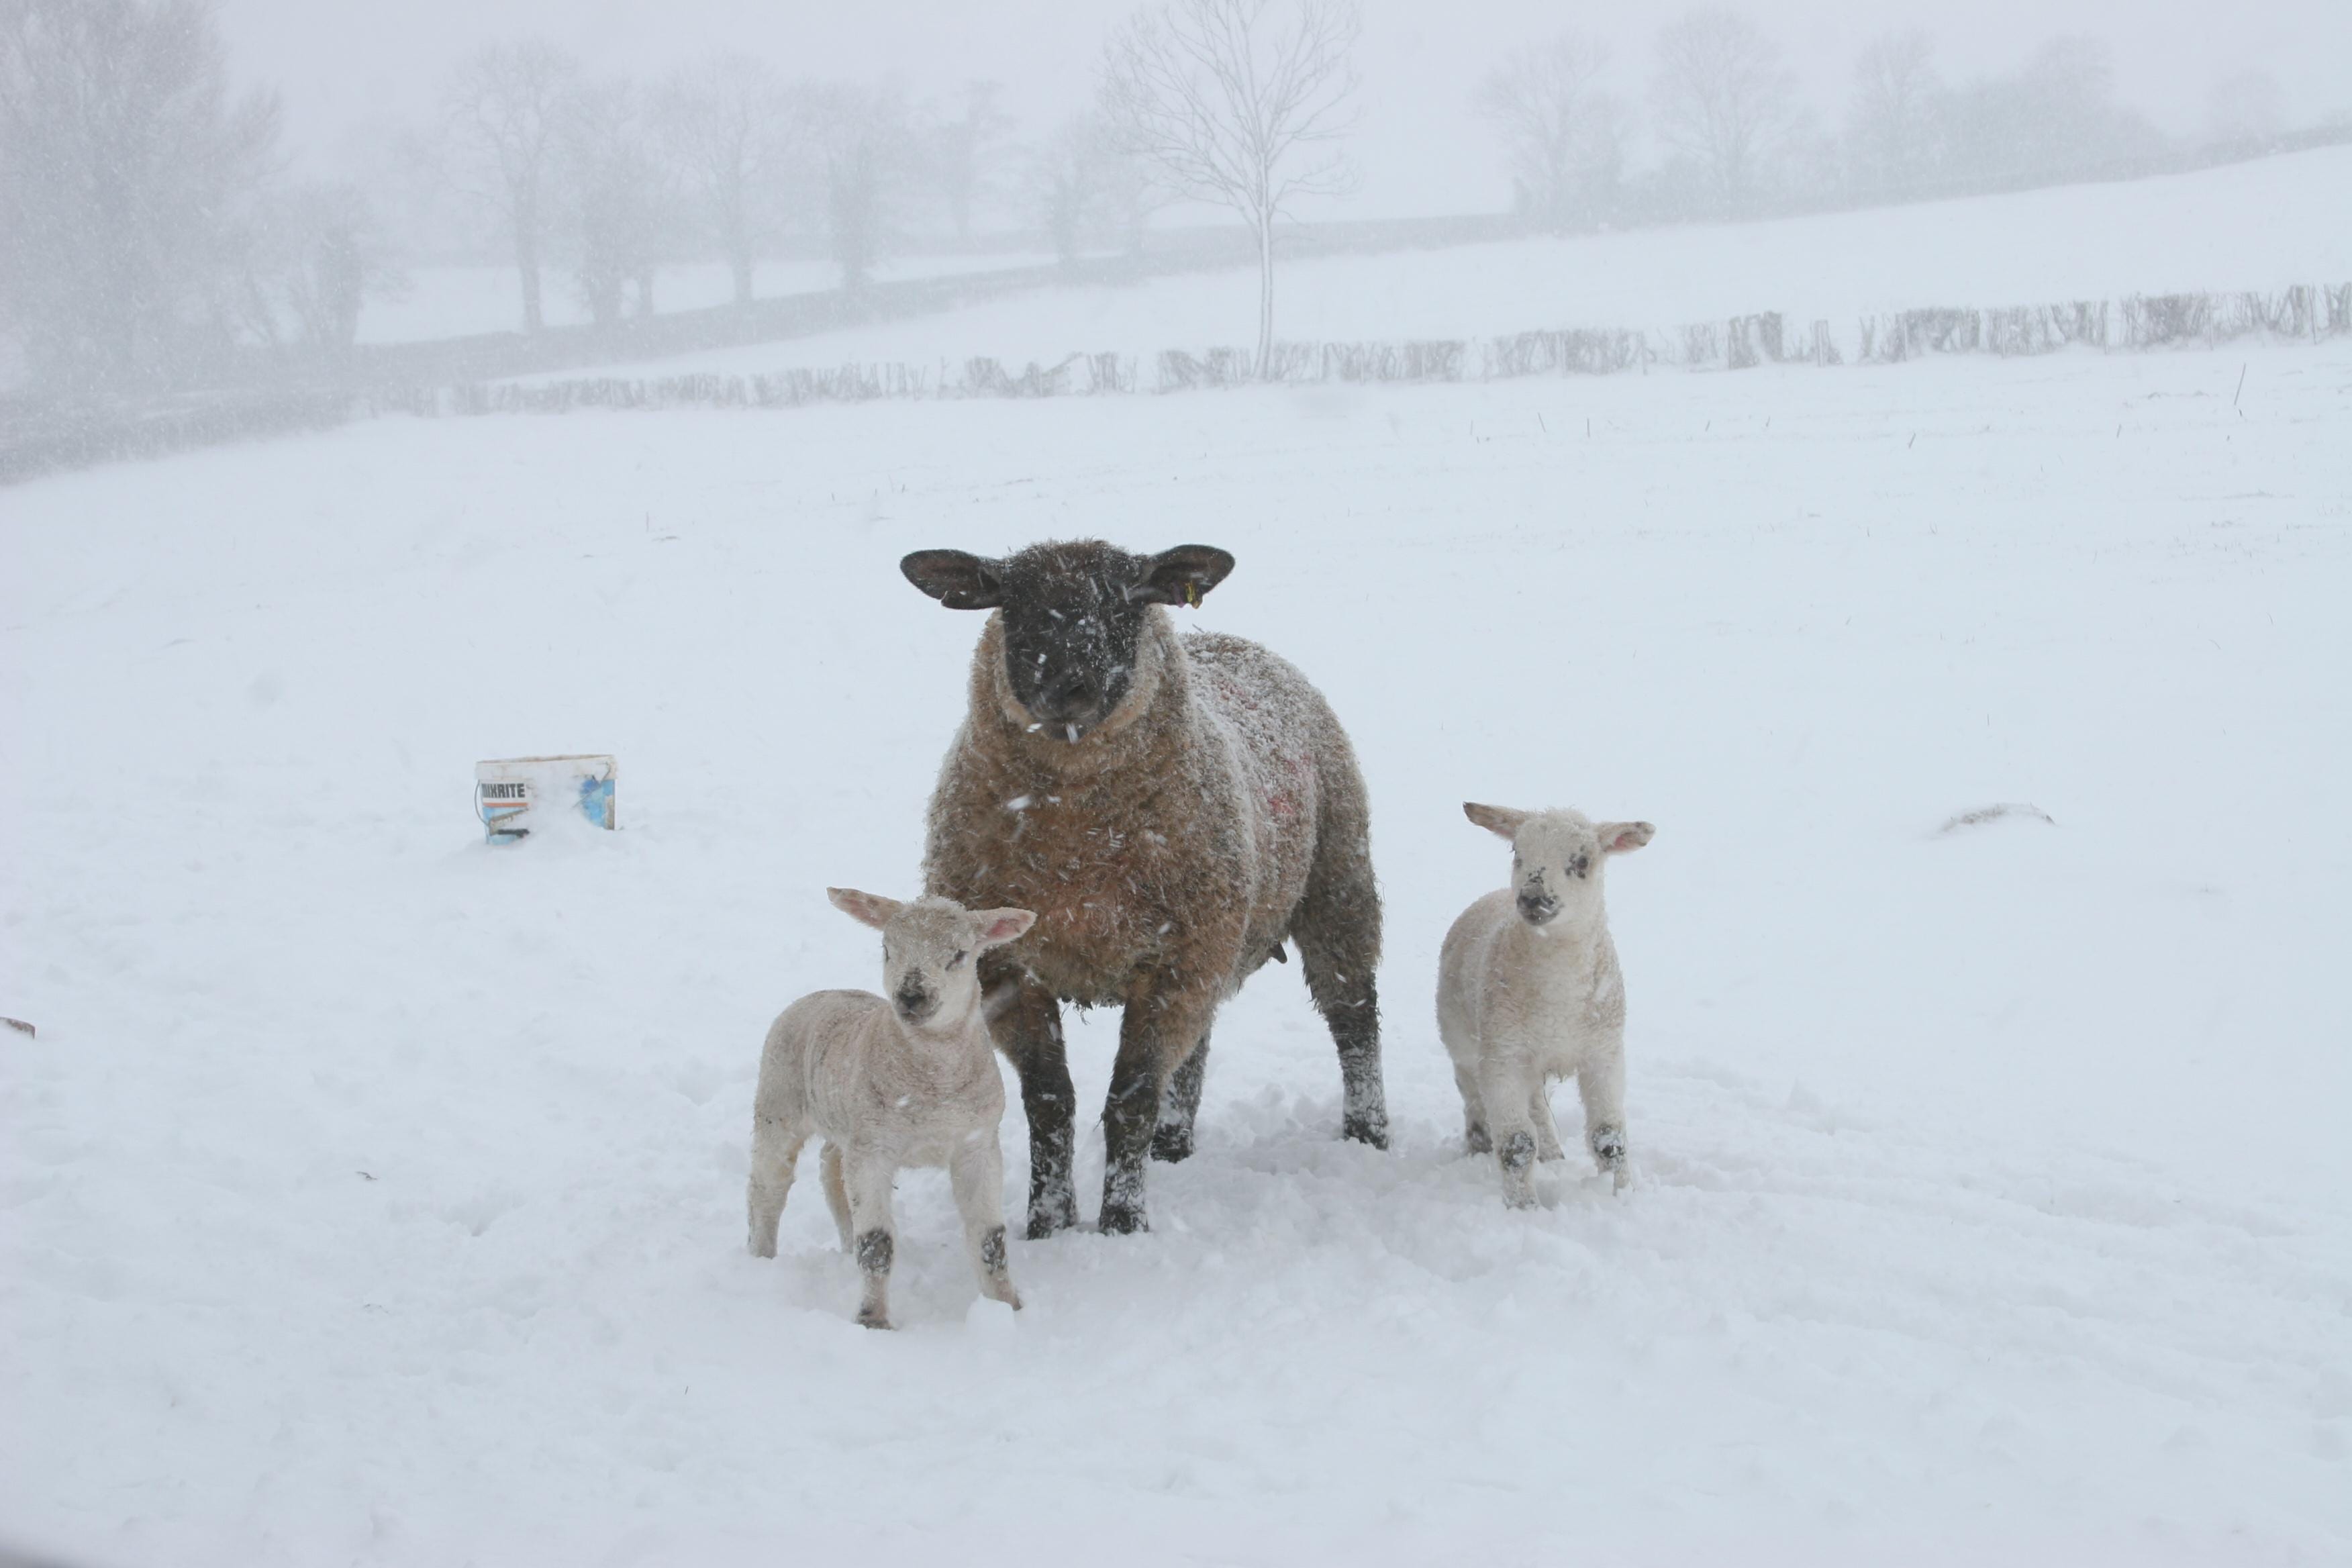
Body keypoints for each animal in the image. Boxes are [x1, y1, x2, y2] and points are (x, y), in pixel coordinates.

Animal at [752, 888, 1039, 1335]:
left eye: (959, 955)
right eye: (887, 950)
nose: (911, 997)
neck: (934, 1085)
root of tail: (820, 994)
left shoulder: (978, 1143)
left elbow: (990, 1237)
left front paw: (1007, 1308)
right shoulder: (874, 1150)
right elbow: (877, 1243)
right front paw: (873, 1321)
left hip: (846, 1124)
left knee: (832, 1170)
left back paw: (842, 1244)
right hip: (777, 1102)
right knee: (768, 1188)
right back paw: (760, 1260)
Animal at [1430, 803, 1655, 1213]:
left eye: (1582, 861)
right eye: (1516, 852)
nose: (1533, 898)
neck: (1558, 1004)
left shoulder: (1605, 1051)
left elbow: (1609, 1138)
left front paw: (1620, 1195)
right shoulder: (1501, 1056)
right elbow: (1516, 1145)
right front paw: (1524, 1209)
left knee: (1537, 1105)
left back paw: (1552, 1154)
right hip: (1461, 1034)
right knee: (1471, 1093)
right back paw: (1478, 1146)